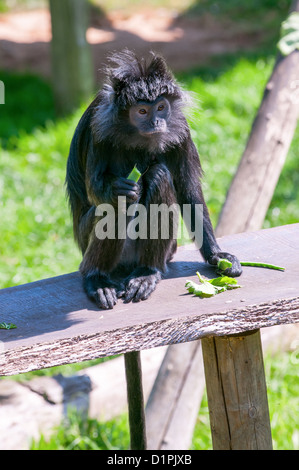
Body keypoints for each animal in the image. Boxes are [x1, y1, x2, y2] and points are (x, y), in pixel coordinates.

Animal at [65, 49, 241, 310]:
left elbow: (189, 190)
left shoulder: (180, 127)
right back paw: (97, 277)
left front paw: (217, 256)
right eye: (141, 111)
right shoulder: (99, 123)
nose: (157, 122)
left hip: (168, 249)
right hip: (86, 238)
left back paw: (146, 273)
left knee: (159, 176)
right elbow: (94, 189)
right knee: (119, 204)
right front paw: (116, 188)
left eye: (160, 107)